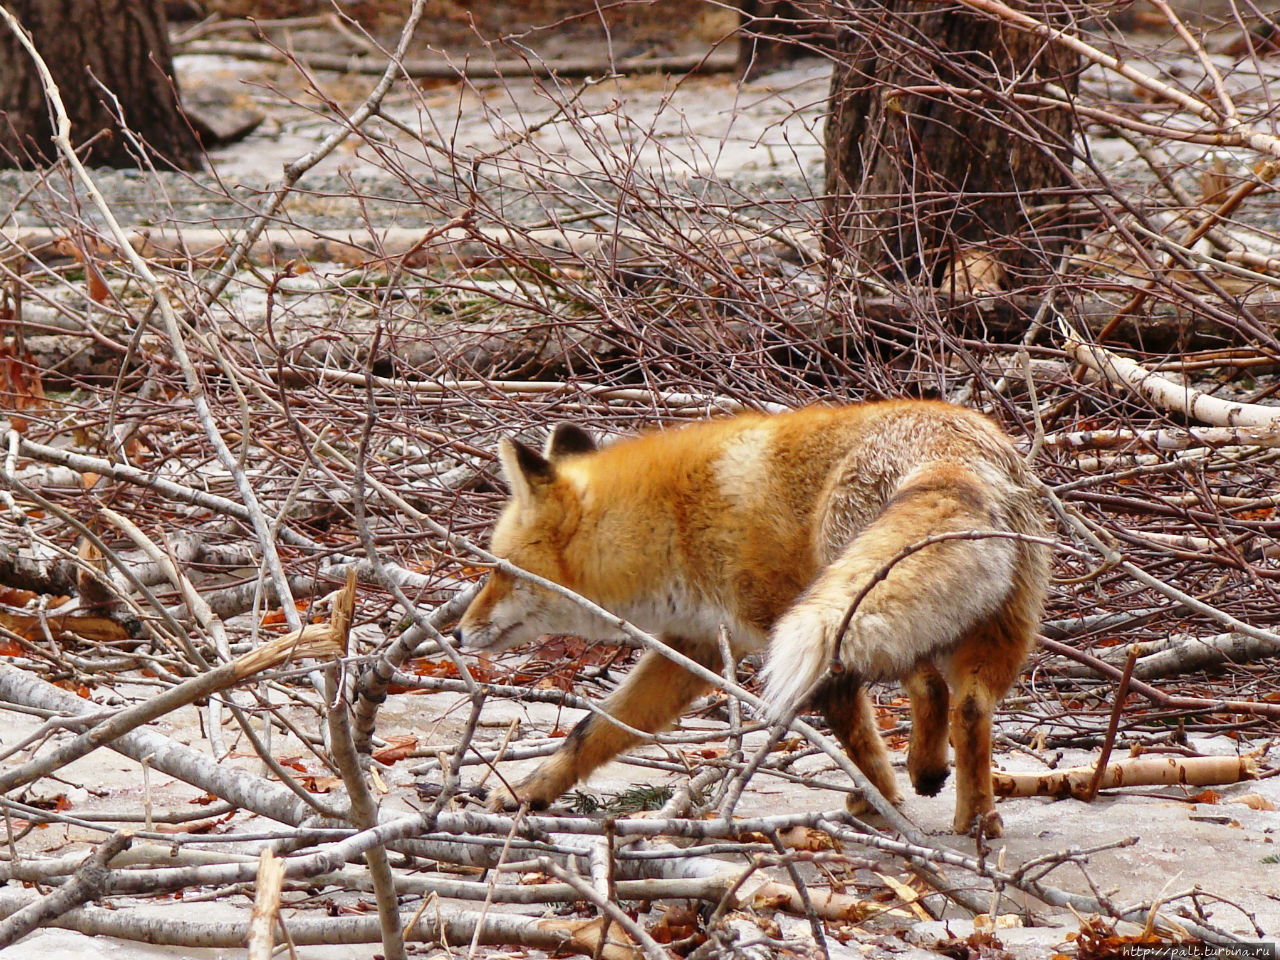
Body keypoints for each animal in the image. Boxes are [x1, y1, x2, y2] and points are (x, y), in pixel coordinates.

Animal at [458, 401, 1049, 839]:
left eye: (500, 570)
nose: (461, 631)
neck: (672, 523)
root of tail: (953, 454)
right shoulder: (691, 648)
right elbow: (595, 731)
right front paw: (528, 791)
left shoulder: (786, 629)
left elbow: (854, 731)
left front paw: (877, 799)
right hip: (997, 629)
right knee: (969, 705)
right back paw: (978, 818)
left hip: (848, 611)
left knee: (928, 685)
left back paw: (927, 772)